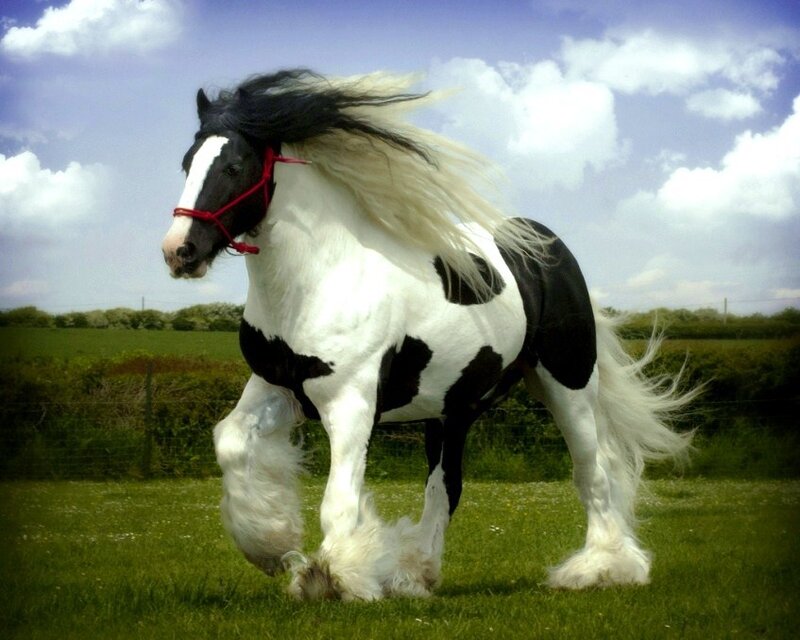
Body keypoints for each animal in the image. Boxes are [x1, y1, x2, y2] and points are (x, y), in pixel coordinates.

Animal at [161, 69, 694, 601]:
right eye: (187, 163)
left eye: (234, 166)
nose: (179, 251)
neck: (322, 275)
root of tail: (548, 248)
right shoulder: (278, 385)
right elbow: (231, 442)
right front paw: (272, 545)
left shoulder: (351, 401)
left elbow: (340, 497)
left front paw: (332, 575)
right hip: (452, 408)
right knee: (446, 486)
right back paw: (412, 574)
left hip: (568, 383)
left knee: (593, 472)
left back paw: (601, 568)